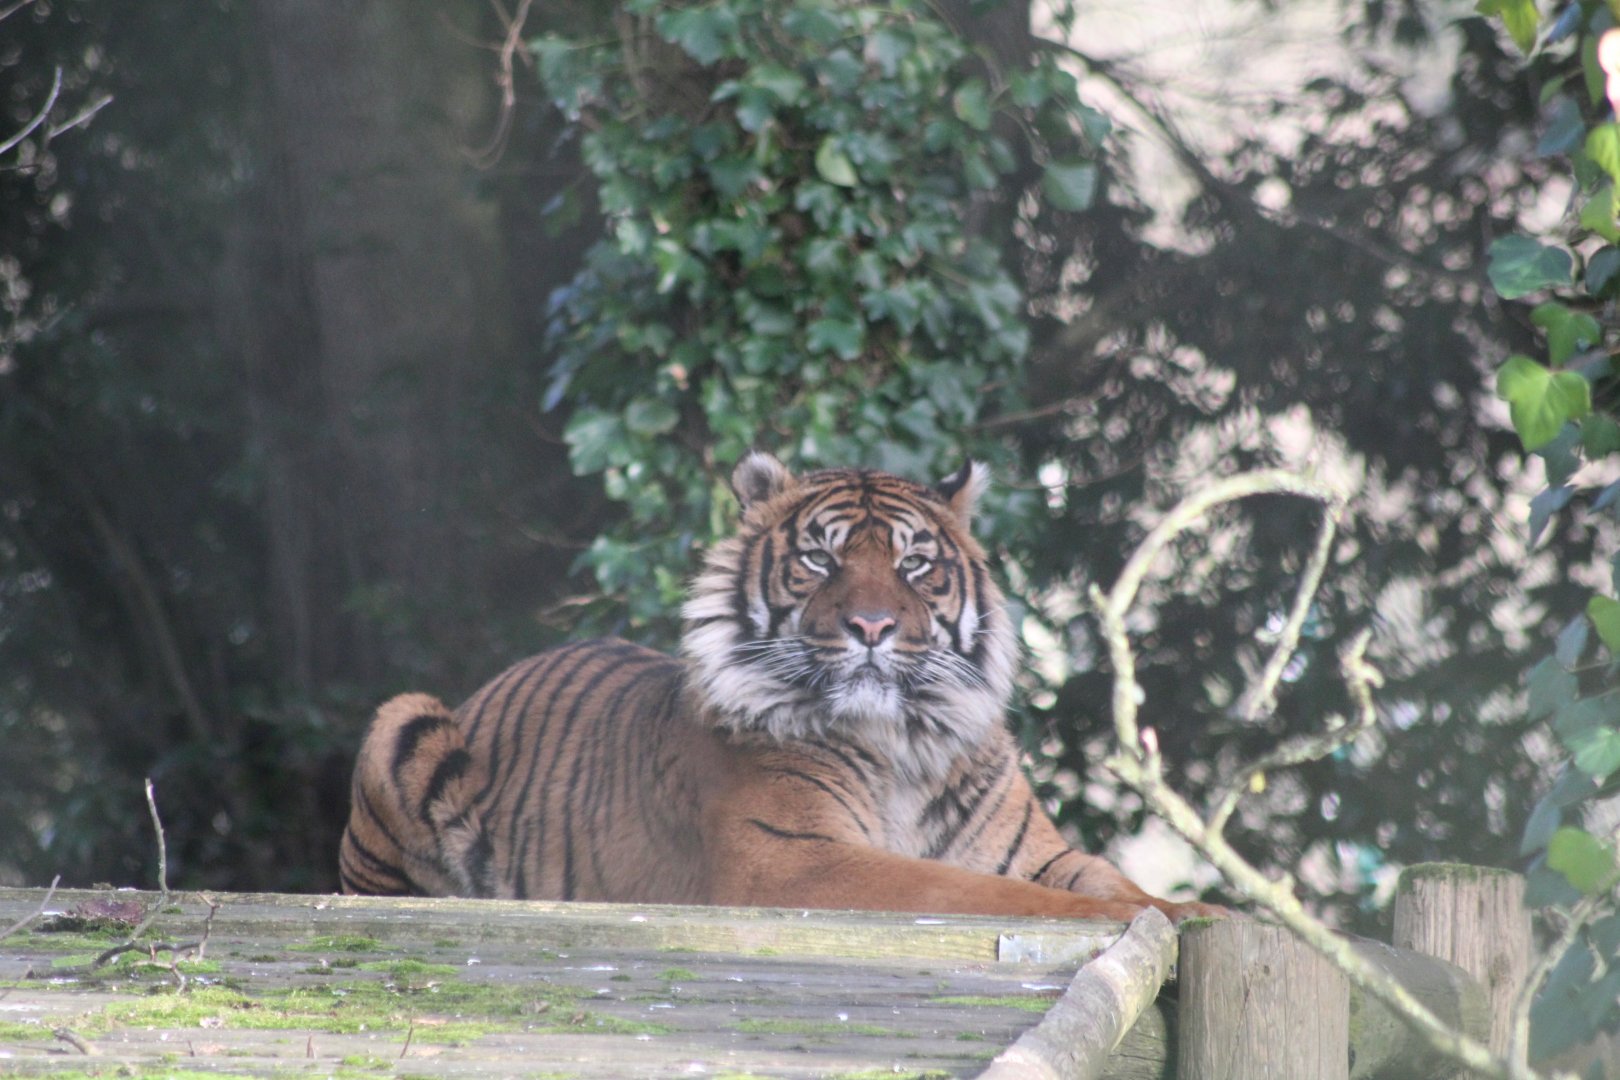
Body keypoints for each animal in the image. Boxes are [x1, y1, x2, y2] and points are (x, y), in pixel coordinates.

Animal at [338, 452, 1223, 922]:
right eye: (821, 559)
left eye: (914, 564)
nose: (872, 626)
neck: (904, 744)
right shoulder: (792, 859)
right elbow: (980, 891)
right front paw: (1130, 917)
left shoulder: (1041, 853)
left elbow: (1105, 875)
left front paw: (1196, 911)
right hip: (402, 720)